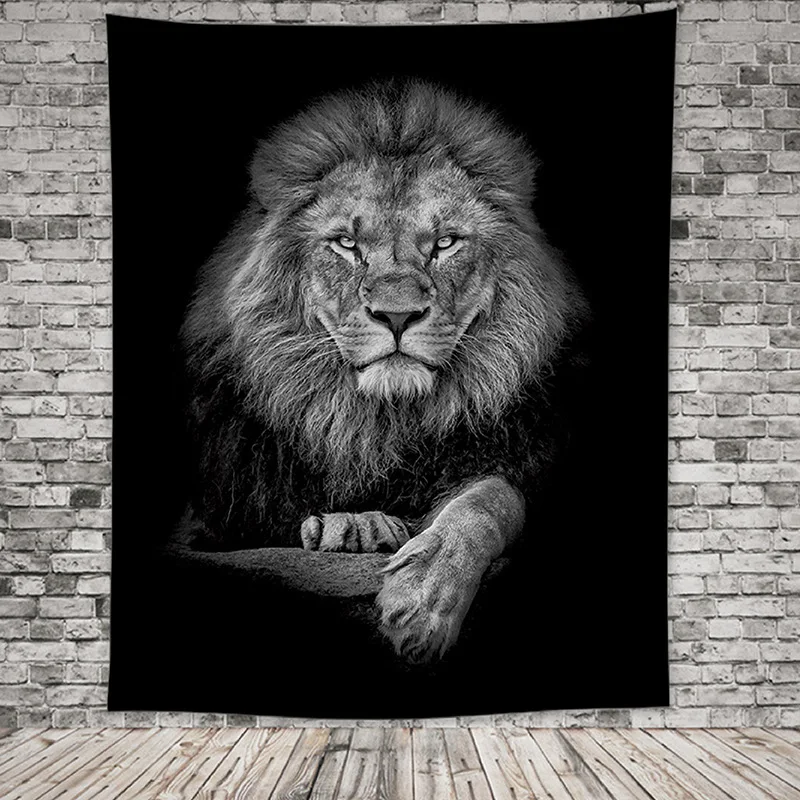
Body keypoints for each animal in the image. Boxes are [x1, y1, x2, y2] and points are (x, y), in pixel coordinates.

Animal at [179, 79, 590, 664]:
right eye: (347, 244)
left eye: (445, 243)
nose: (396, 316)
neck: (378, 423)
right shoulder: (213, 514)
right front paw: (356, 525)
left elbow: (489, 500)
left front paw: (424, 598)